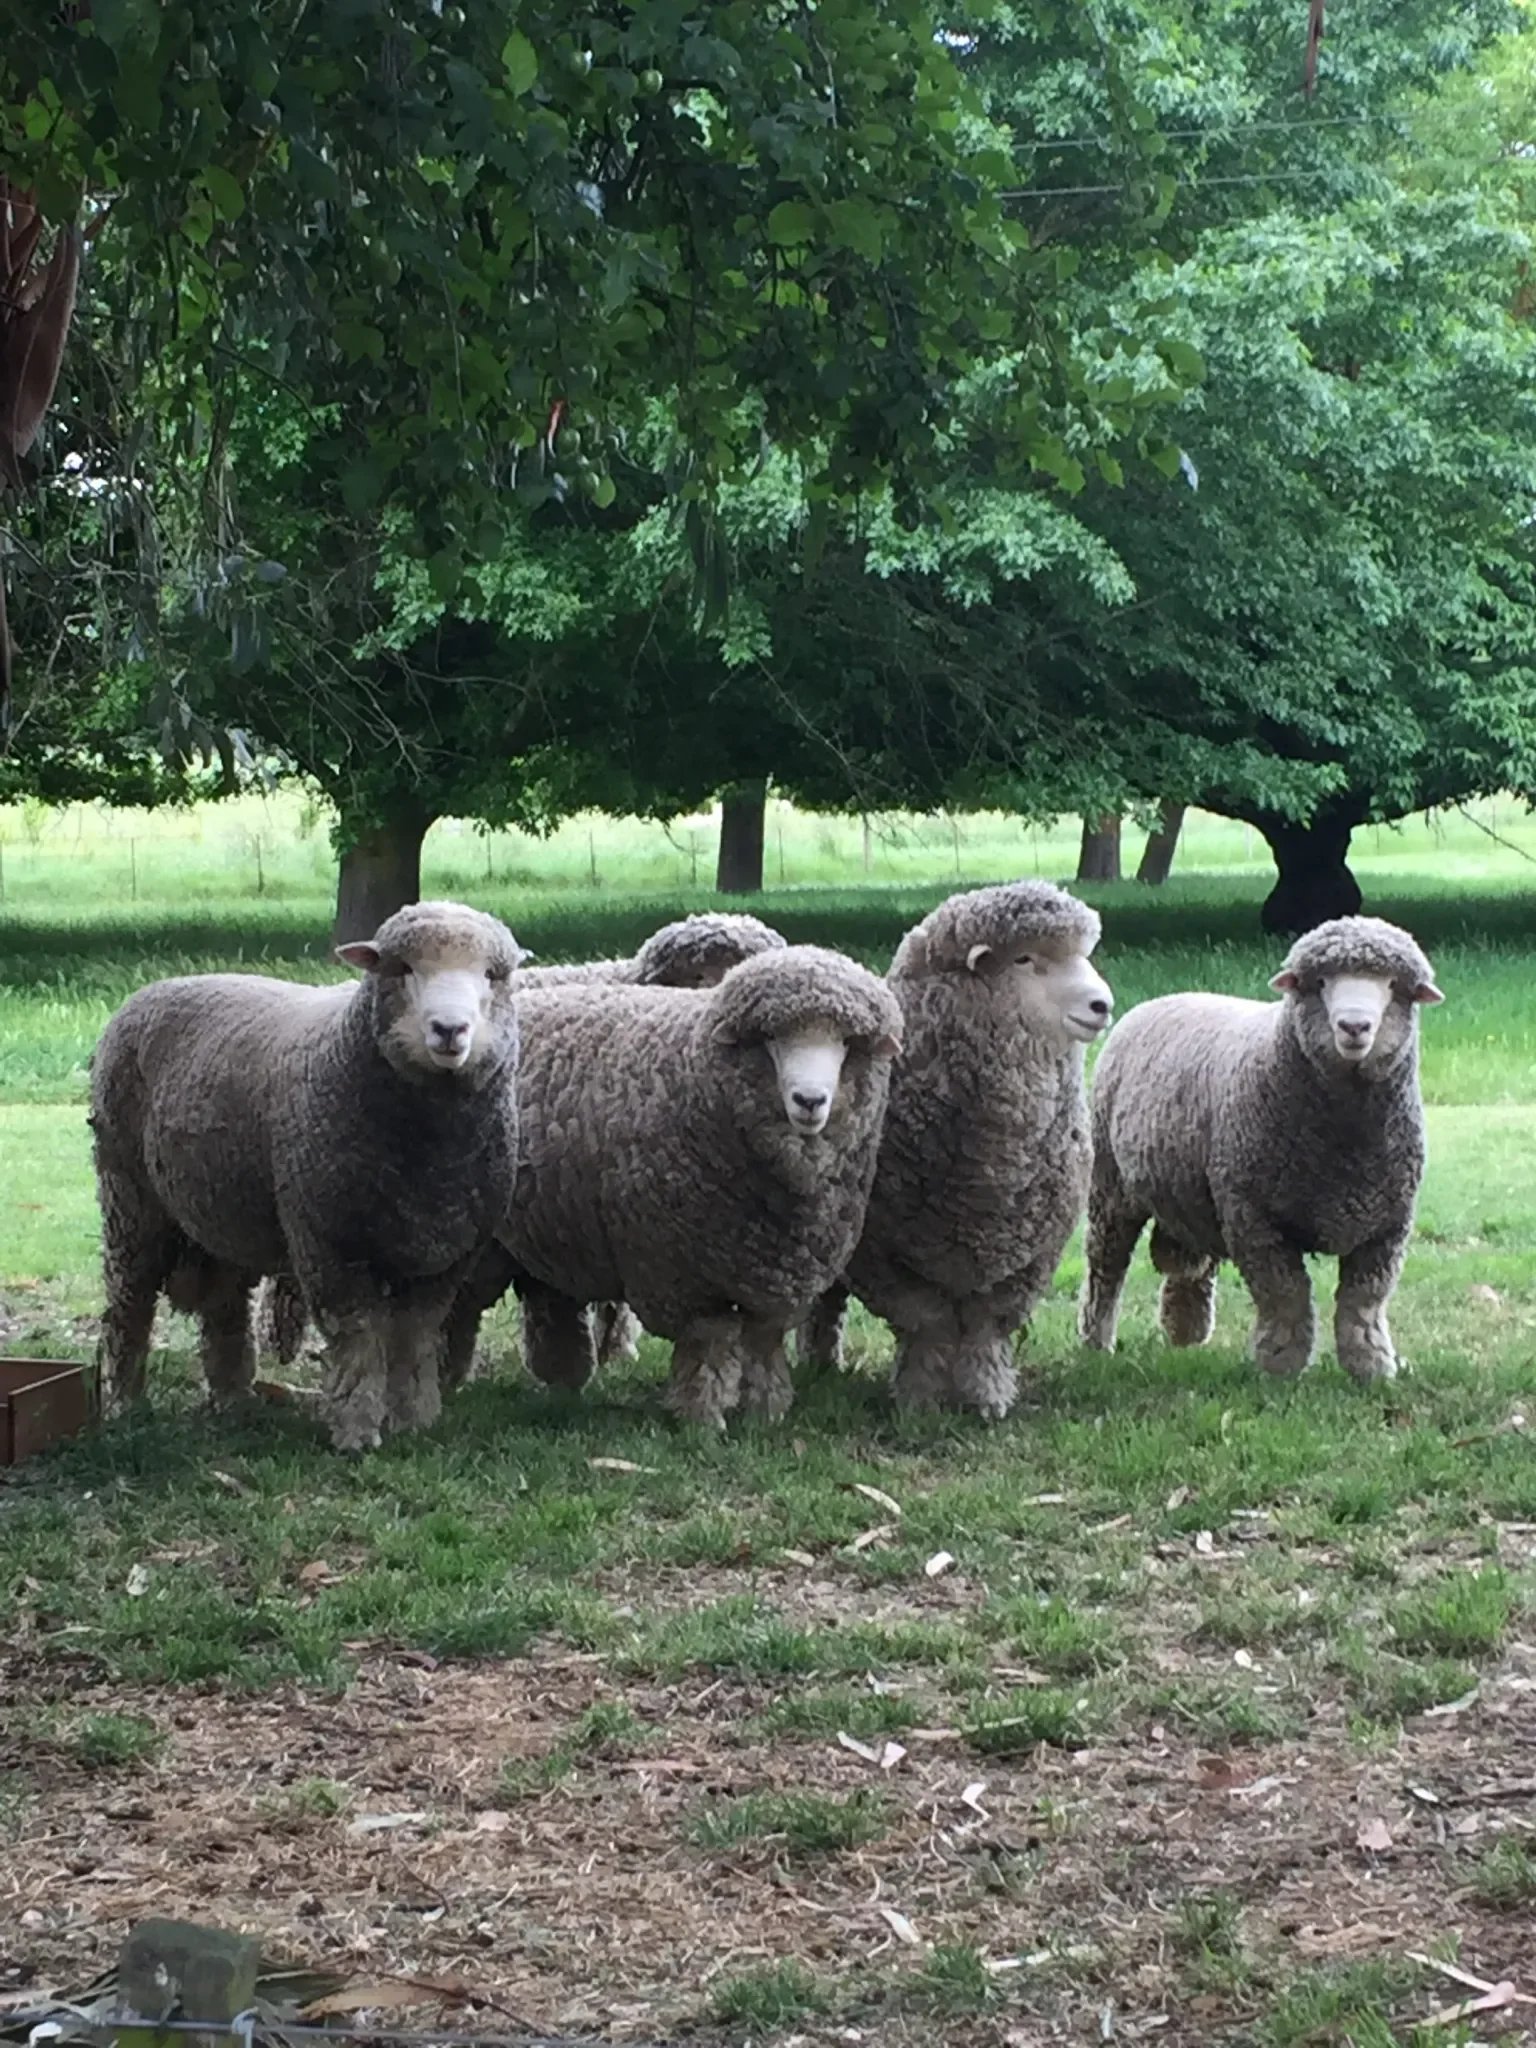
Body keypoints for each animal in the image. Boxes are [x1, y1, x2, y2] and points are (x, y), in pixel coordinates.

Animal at [89, 900, 525, 1451]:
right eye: (401, 968)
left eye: (493, 975)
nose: (450, 1030)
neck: (430, 1160)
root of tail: (157, 986)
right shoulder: (331, 1245)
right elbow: (359, 1339)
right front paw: (357, 1431)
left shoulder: (445, 1256)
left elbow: (415, 1339)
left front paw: (415, 1421)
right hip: (128, 1196)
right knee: (129, 1305)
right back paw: (124, 1403)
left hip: (224, 1208)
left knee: (225, 1308)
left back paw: (235, 1400)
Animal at [489, 944, 902, 1429]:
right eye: (772, 1039)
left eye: (845, 1042)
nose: (810, 1101)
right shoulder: (684, 1276)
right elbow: (709, 1342)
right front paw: (701, 1417)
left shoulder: (776, 1275)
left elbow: (763, 1341)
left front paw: (767, 1411)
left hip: (551, 1230)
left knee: (550, 1303)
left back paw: (562, 1383)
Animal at [801, 881, 1113, 1418]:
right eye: (1024, 959)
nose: (1103, 1004)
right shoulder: (889, 1260)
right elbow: (930, 1326)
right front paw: (920, 1399)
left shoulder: (1024, 1265)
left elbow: (985, 1333)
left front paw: (988, 1398)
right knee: (825, 1303)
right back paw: (819, 1362)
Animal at [1077, 915, 1443, 1382]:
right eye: (1320, 982)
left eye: (1395, 985)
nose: (1354, 1027)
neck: (1344, 1144)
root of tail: (1162, 999)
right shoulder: (1255, 1219)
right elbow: (1285, 1293)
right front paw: (1281, 1365)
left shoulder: (1387, 1226)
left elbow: (1364, 1301)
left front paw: (1372, 1365)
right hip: (1111, 1186)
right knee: (1106, 1267)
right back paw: (1096, 1342)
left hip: (1194, 1192)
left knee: (1192, 1264)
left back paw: (1186, 1330)